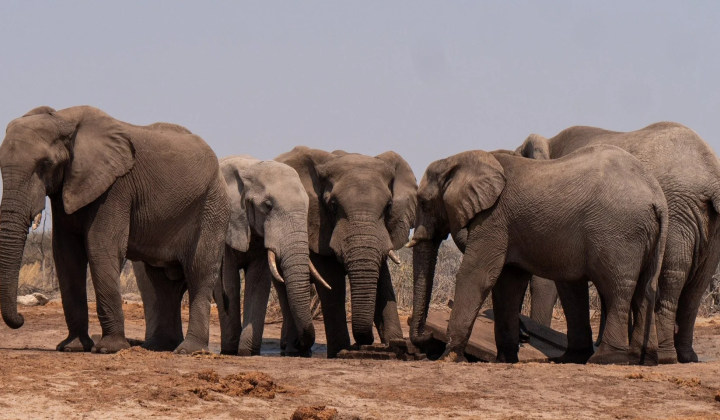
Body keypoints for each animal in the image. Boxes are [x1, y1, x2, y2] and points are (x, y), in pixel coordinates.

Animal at [0, 106, 229, 354]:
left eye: (45, 164)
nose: (21, 318)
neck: (63, 119)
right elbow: (67, 256)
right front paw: (72, 347)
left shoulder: (115, 187)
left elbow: (101, 247)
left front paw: (108, 349)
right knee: (162, 282)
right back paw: (157, 347)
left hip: (212, 206)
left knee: (199, 271)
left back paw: (189, 350)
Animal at [212, 155, 330, 356]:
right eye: (267, 206)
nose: (298, 343)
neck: (250, 168)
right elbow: (229, 282)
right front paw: (230, 350)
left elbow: (258, 281)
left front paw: (247, 352)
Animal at [275, 146, 417, 358]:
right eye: (333, 205)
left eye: (389, 206)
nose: (367, 341)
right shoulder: (318, 225)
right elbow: (331, 280)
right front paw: (340, 351)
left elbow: (382, 280)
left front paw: (395, 344)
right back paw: (292, 348)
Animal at [409, 146, 667, 365]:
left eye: (423, 202)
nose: (426, 337)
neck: (460, 159)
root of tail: (656, 196)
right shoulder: (507, 225)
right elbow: (508, 284)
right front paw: (505, 360)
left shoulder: (493, 219)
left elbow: (477, 275)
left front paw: (449, 357)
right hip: (644, 235)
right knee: (645, 289)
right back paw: (642, 359)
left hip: (619, 233)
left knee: (616, 289)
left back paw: (605, 359)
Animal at [517, 122, 720, 363]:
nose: (525, 336)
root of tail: (711, 176)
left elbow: (555, 278)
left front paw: (571, 356)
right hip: (710, 225)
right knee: (696, 286)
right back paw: (685, 357)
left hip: (678, 212)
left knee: (671, 277)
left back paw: (664, 357)